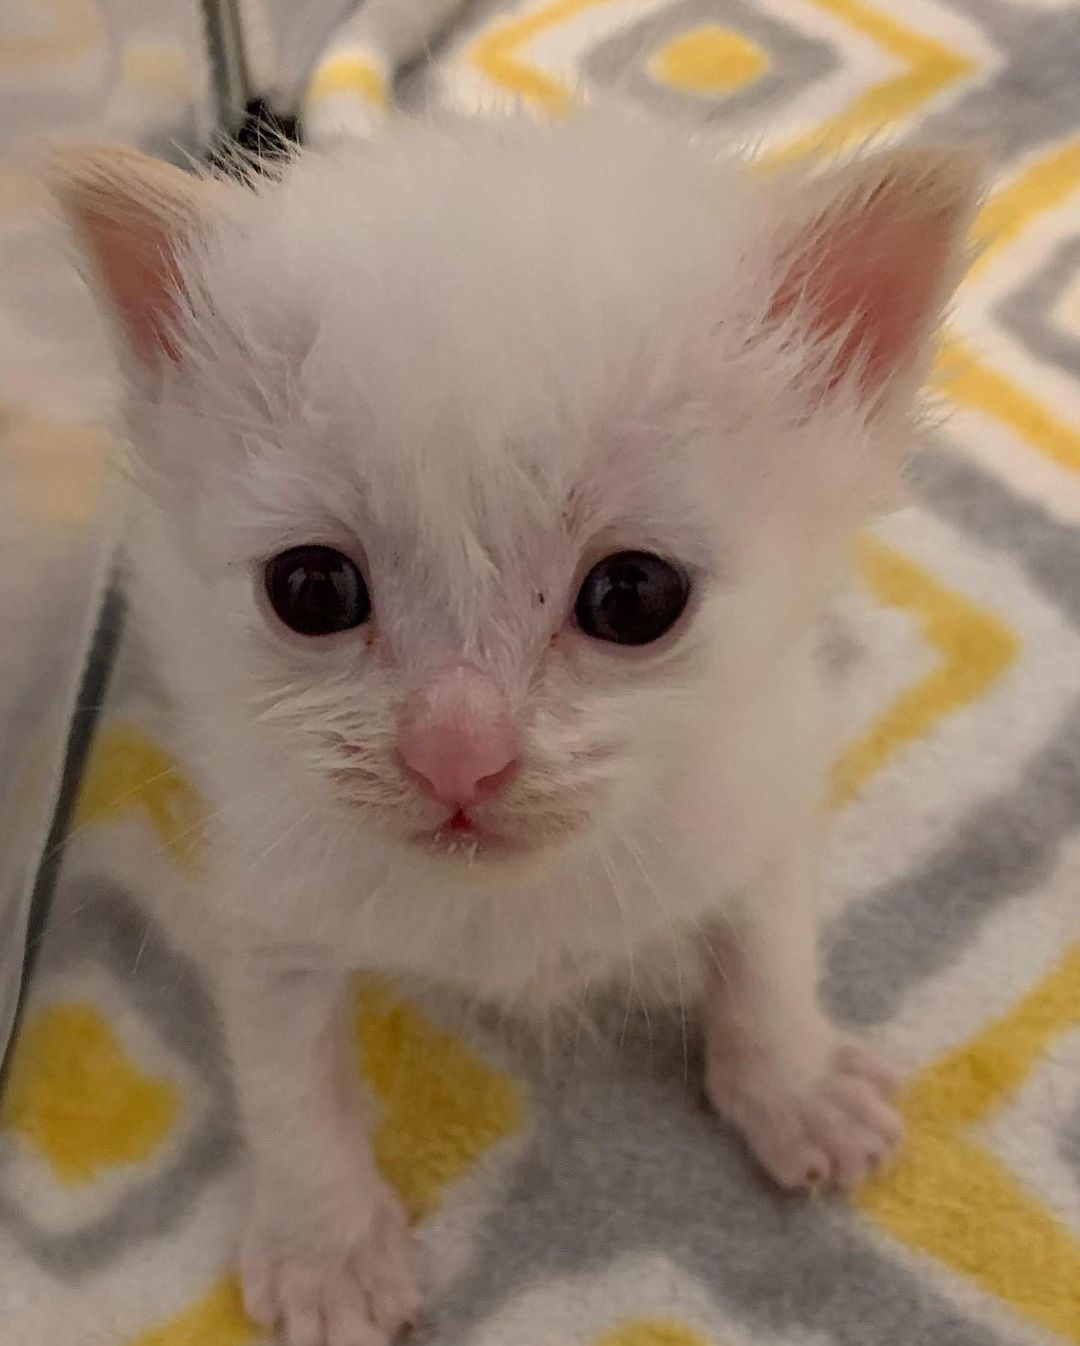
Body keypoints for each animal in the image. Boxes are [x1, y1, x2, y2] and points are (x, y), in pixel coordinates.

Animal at [48, 113, 974, 1346]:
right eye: (311, 588)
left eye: (634, 595)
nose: (455, 751)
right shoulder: (266, 876)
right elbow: (287, 1071)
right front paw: (327, 1246)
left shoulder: (761, 781)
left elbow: (768, 947)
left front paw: (796, 1085)